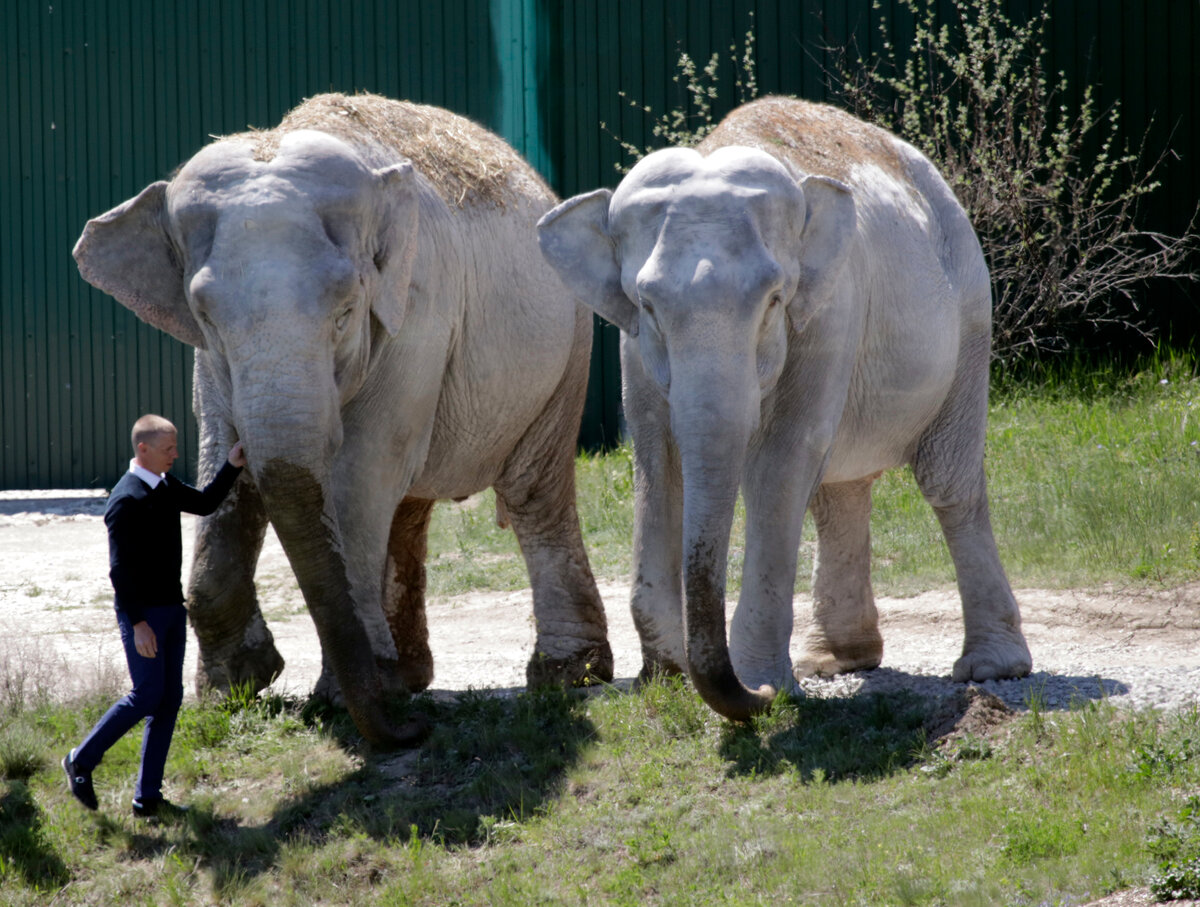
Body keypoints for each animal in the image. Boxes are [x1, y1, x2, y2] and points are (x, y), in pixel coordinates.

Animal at [75, 92, 614, 748]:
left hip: (569, 347)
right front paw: (235, 689)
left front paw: (337, 700)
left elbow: (360, 471)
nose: (412, 733)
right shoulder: (209, 358)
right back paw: (408, 678)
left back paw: (566, 676)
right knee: (408, 503)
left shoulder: (416, 311)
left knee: (531, 492)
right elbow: (219, 456)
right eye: (204, 315)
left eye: (345, 312)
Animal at [537, 97, 1032, 724]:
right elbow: (656, 459)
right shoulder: (631, 344)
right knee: (837, 491)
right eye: (647, 304)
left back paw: (992, 669)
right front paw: (665, 684)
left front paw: (767, 690)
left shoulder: (830, 308)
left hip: (970, 307)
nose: (758, 698)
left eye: (774, 300)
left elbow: (780, 460)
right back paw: (837, 662)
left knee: (949, 482)